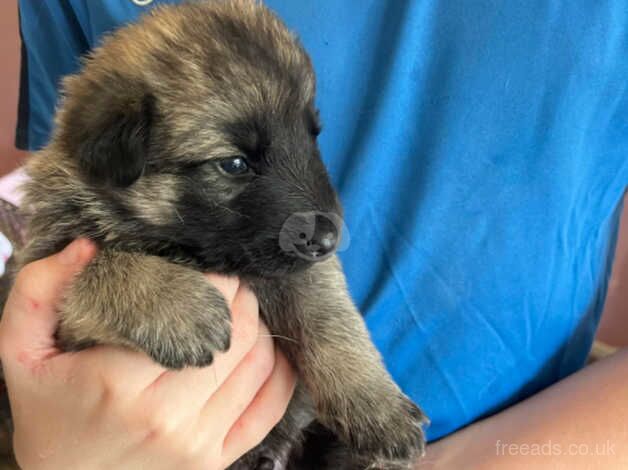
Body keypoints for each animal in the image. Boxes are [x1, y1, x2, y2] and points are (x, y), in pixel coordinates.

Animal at [15, 1, 426, 468]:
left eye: (312, 136)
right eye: (233, 163)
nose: (328, 241)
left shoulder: (293, 268)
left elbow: (328, 315)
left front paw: (375, 403)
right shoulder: (59, 290)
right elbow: (103, 268)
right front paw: (179, 306)